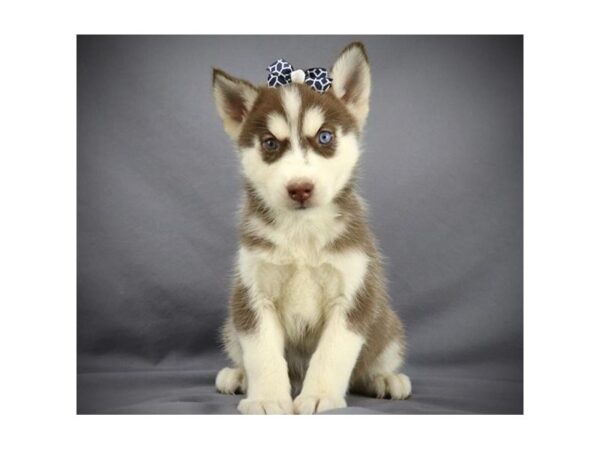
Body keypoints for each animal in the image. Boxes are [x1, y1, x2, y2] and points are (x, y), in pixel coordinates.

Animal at [212, 42, 412, 414]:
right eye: (270, 144)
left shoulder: (354, 294)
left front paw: (319, 396)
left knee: (371, 365)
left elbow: (332, 354)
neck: (301, 232)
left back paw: (385, 379)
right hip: (231, 326)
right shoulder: (253, 295)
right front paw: (266, 398)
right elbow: (262, 354)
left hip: (388, 325)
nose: (300, 188)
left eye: (324, 136)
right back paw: (237, 376)